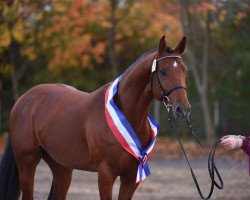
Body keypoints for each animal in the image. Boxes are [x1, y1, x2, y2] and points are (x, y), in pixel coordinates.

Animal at [0, 35, 190, 199]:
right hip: (26, 163)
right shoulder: (106, 174)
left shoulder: (130, 178)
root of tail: (24, 99)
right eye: (163, 71)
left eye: (184, 71)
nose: (182, 109)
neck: (126, 115)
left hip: (62, 168)